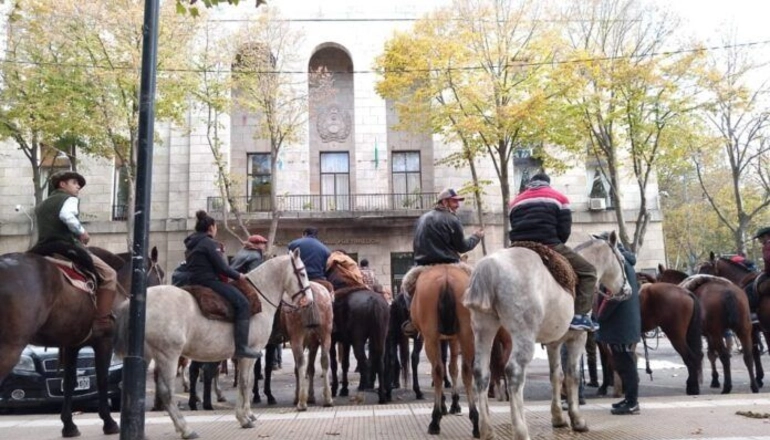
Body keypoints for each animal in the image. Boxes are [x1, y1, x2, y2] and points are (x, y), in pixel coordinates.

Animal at [0, 246, 162, 438]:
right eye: (160, 273)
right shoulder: (104, 342)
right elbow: (102, 379)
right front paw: (109, 422)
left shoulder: (72, 345)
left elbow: (70, 381)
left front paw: (69, 425)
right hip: (10, 347)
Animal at [112, 249, 310, 438]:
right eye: (302, 272)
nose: (308, 301)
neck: (260, 296)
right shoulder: (250, 353)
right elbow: (245, 382)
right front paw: (244, 418)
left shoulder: (246, 356)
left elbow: (246, 380)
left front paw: (248, 414)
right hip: (168, 355)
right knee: (166, 392)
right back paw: (186, 429)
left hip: (146, 355)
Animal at [412, 262, 476, 438]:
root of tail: (446, 279)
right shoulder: (453, 338)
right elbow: (453, 368)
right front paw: (453, 404)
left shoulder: (440, 338)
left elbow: (446, 367)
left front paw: (446, 405)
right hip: (466, 333)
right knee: (466, 370)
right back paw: (475, 420)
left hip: (430, 337)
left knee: (437, 370)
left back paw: (435, 420)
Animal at [462, 232, 632, 438]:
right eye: (622, 260)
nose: (628, 291)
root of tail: (489, 267)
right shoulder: (577, 338)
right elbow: (572, 375)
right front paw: (577, 419)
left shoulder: (553, 343)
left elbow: (556, 375)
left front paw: (558, 417)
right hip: (523, 335)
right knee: (514, 373)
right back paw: (521, 430)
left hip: (483, 329)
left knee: (481, 372)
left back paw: (487, 430)